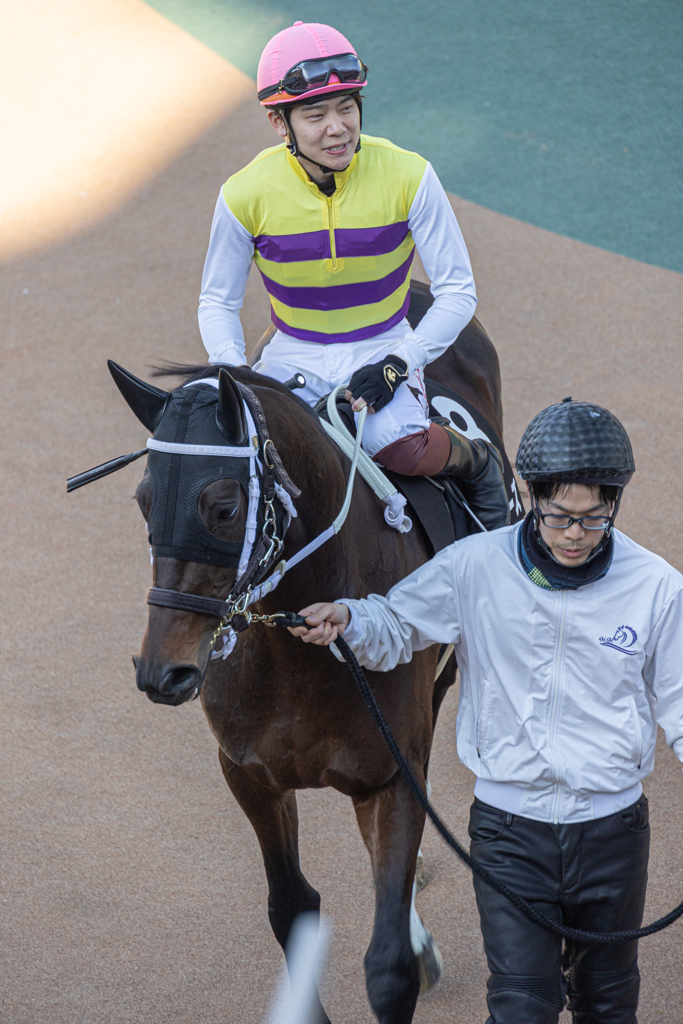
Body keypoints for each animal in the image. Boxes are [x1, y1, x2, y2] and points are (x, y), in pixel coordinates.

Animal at [118, 303, 507, 1024]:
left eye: (222, 506)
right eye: (143, 500)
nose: (163, 672)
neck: (298, 650)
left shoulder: (392, 771)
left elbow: (388, 963)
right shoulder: (249, 773)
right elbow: (291, 907)